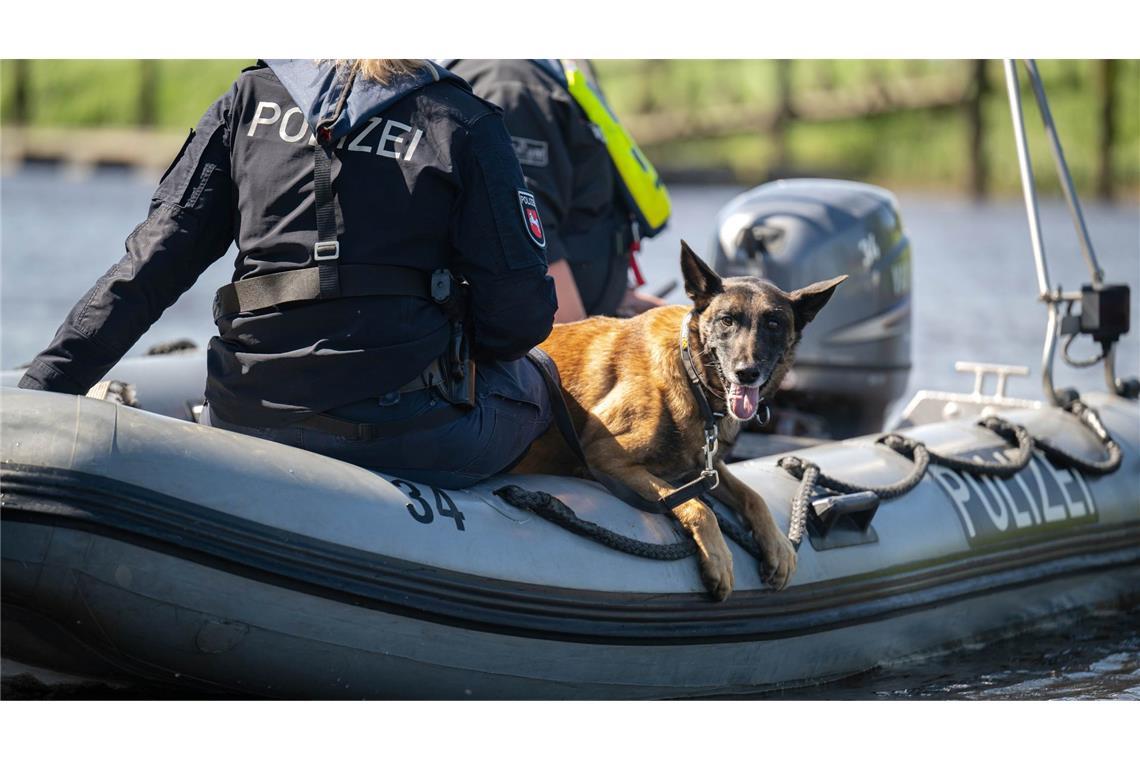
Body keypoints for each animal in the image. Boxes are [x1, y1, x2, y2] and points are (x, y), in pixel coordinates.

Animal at [513, 242, 843, 601]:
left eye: (773, 323)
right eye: (727, 320)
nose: (746, 372)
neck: (692, 375)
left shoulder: (706, 467)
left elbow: (752, 495)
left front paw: (778, 545)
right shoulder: (606, 457)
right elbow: (698, 506)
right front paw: (718, 557)